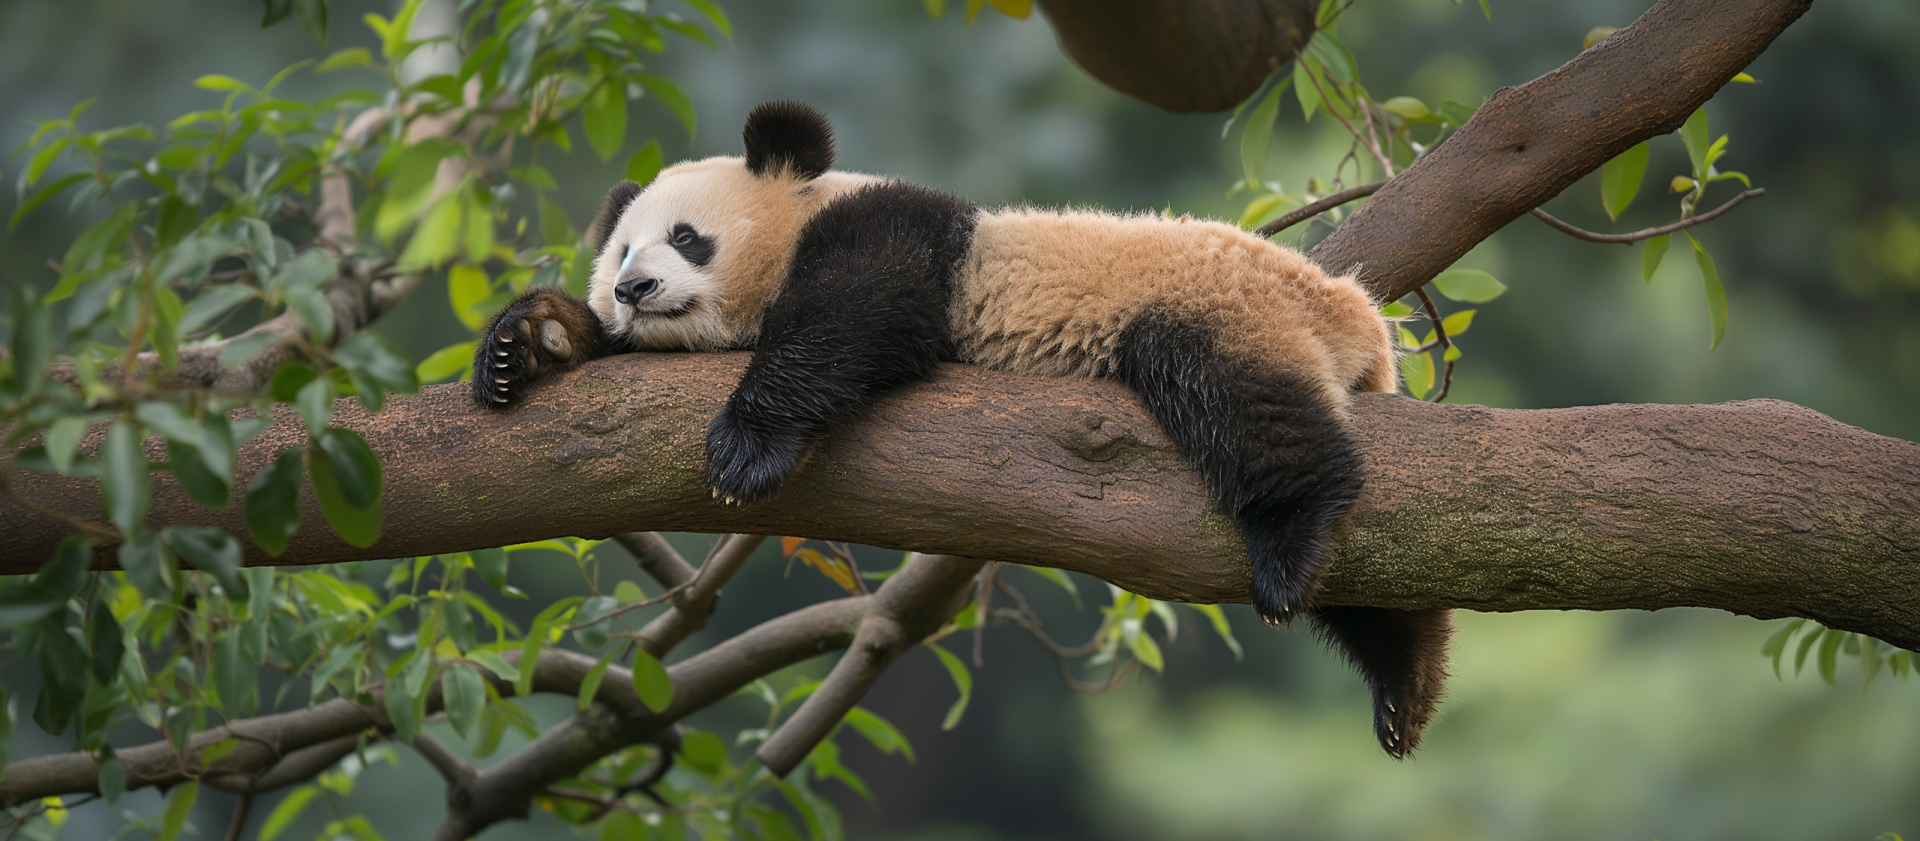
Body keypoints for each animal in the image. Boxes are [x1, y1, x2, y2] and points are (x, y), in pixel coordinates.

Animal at [473, 101, 1451, 757]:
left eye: (686, 236)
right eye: (620, 253)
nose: (634, 288)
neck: (799, 214)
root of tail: (1359, 317)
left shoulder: (894, 231)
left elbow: (852, 312)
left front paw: (747, 446)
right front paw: (524, 347)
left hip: (1223, 305)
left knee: (1249, 408)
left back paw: (1291, 539)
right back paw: (1404, 683)